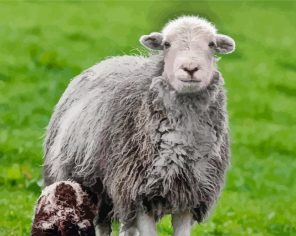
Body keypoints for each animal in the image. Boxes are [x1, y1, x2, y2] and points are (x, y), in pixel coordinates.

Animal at [42, 15, 236, 236]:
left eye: (211, 44)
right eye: (166, 44)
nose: (190, 69)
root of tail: (112, 60)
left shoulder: (189, 195)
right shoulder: (136, 192)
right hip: (92, 186)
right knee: (102, 225)